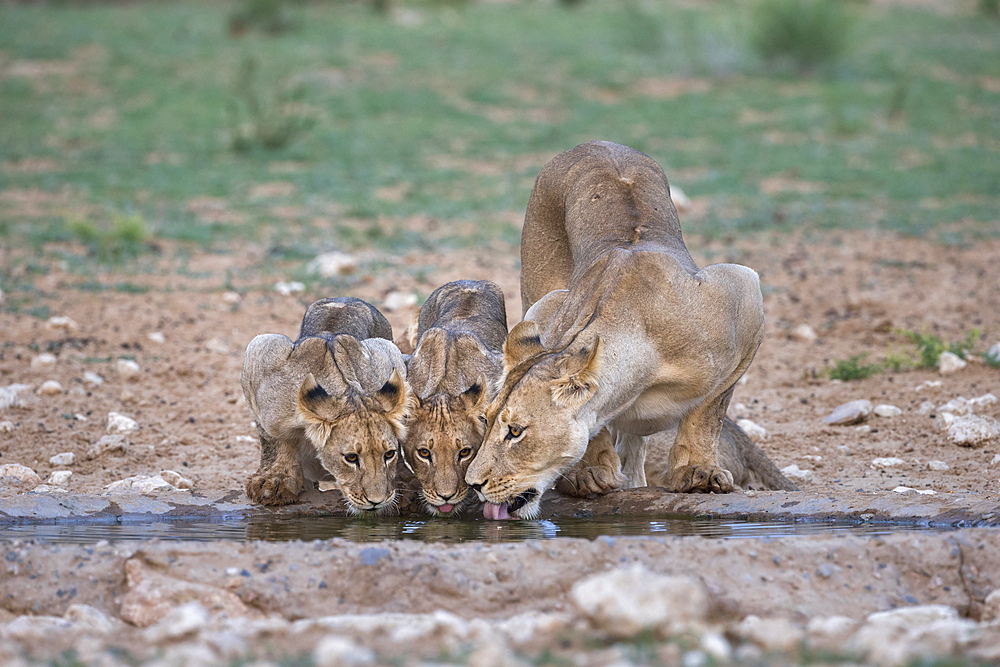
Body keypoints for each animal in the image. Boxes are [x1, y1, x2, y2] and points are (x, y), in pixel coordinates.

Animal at [241, 298, 410, 512]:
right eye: (351, 457)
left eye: (389, 454)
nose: (377, 501)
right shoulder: (260, 352)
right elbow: (274, 439)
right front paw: (274, 481)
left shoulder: (387, 354)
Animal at [464, 141, 760, 520]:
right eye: (485, 421)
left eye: (515, 432)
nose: (473, 484)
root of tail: (595, 144)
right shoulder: (548, 308)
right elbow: (595, 417)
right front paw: (590, 472)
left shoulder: (744, 292)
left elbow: (709, 411)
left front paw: (699, 472)